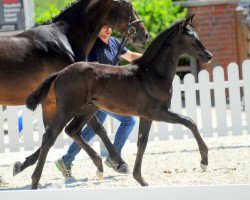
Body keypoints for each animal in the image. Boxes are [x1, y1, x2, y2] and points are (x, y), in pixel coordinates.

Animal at [0, 0, 147, 177]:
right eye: (129, 6)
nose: (145, 34)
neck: (64, 40)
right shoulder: (73, 100)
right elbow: (96, 128)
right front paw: (118, 162)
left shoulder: (51, 103)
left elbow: (52, 133)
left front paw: (23, 164)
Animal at [24, 14, 212, 188]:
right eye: (190, 36)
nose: (208, 55)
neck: (152, 74)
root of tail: (60, 73)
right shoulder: (158, 112)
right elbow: (190, 122)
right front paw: (204, 162)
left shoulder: (146, 116)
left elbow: (142, 143)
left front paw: (140, 179)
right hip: (67, 109)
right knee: (49, 137)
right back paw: (34, 181)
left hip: (88, 108)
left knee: (72, 131)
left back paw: (99, 167)